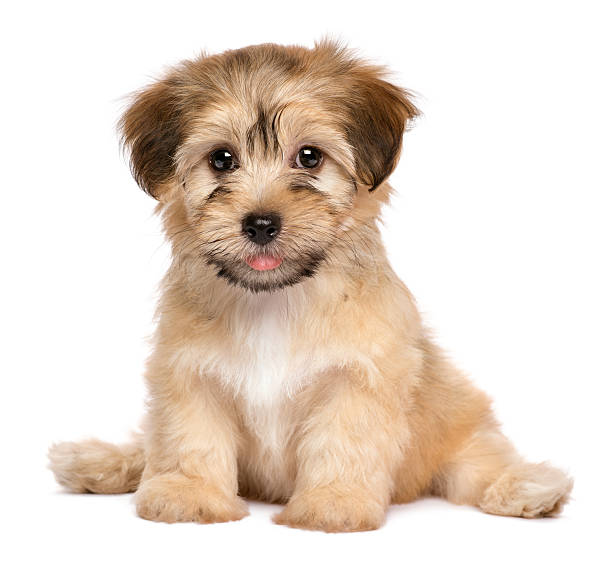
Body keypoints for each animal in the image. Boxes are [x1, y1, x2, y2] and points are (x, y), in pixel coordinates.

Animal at [49, 41, 572, 532]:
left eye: (309, 157)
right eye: (221, 159)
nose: (261, 223)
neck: (274, 299)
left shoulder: (356, 380)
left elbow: (343, 443)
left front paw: (332, 505)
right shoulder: (188, 374)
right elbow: (188, 437)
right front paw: (188, 494)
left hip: (458, 426)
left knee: (478, 465)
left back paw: (529, 487)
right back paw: (99, 462)